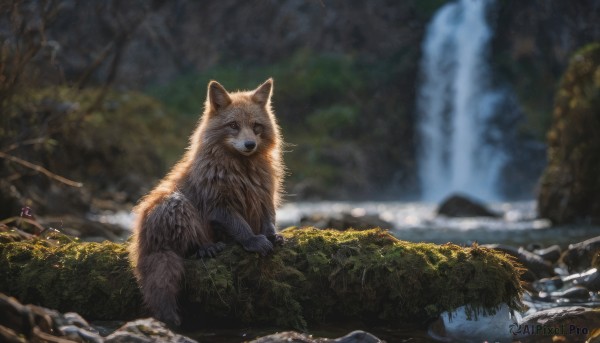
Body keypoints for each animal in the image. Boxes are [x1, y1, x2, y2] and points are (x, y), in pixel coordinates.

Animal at [128, 78, 286, 328]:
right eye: (233, 125)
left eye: (256, 126)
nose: (249, 144)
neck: (241, 171)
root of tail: (145, 244)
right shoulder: (218, 205)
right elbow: (241, 227)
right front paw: (253, 241)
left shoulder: (263, 196)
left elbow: (268, 220)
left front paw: (272, 235)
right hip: (176, 204)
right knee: (185, 247)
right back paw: (205, 247)